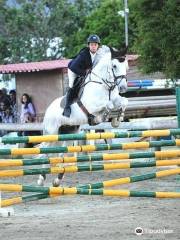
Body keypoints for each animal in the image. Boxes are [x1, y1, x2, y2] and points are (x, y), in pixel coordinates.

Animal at [37, 45, 129, 188]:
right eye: (114, 66)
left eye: (126, 65)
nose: (123, 87)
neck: (103, 84)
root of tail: (48, 110)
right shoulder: (92, 106)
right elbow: (108, 105)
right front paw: (101, 117)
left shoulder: (116, 99)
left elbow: (124, 101)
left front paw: (117, 119)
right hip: (51, 133)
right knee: (45, 152)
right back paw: (41, 179)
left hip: (69, 133)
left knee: (62, 154)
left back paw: (57, 180)